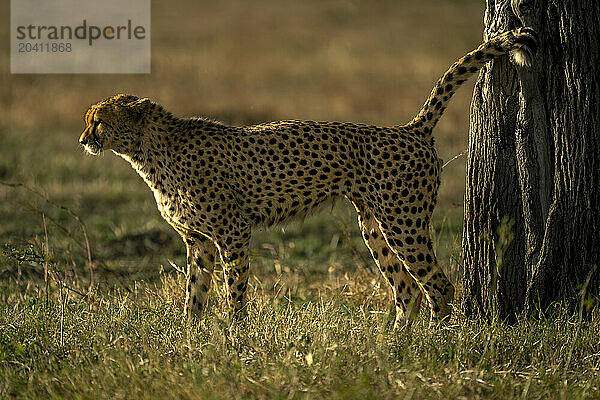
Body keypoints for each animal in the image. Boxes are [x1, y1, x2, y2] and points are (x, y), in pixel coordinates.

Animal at [78, 27, 540, 328]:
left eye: (98, 121)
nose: (83, 139)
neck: (149, 153)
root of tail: (410, 128)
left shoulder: (232, 231)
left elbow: (235, 292)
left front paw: (233, 339)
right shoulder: (199, 240)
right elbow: (194, 295)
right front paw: (189, 339)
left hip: (403, 223)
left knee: (439, 287)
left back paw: (434, 345)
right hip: (374, 224)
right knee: (406, 289)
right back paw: (393, 349)